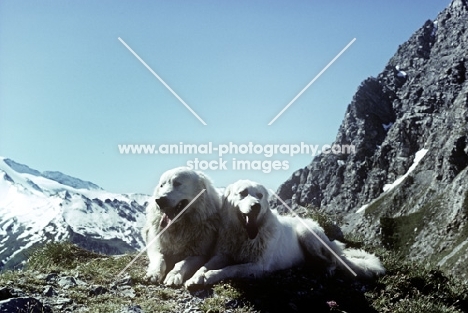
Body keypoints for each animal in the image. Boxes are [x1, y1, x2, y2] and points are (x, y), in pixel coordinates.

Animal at [185, 179, 386, 286]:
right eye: (242, 193)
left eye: (260, 196)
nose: (256, 206)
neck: (243, 236)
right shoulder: (222, 254)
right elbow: (205, 265)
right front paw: (195, 277)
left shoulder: (258, 266)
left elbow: (231, 268)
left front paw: (210, 276)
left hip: (307, 234)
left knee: (333, 261)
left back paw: (326, 269)